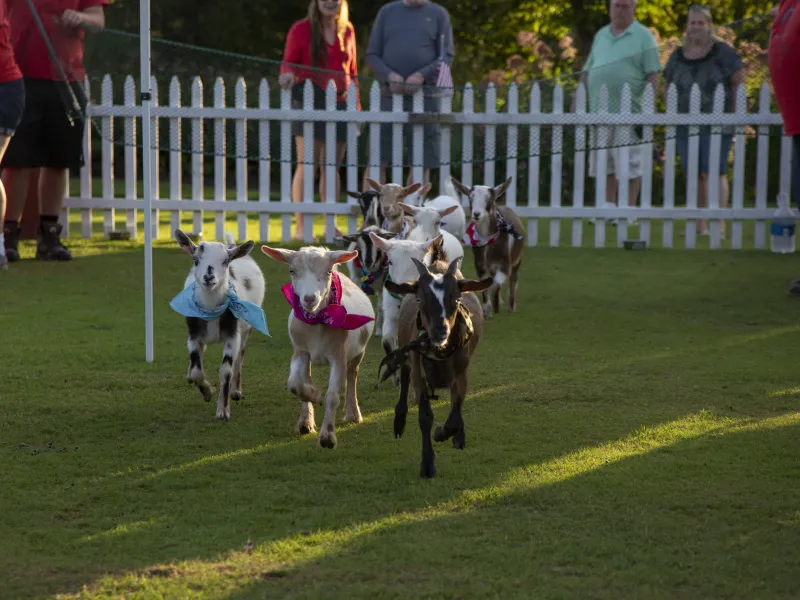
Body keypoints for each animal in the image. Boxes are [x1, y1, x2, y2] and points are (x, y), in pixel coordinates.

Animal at [170, 229, 268, 421]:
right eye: (196, 259)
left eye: (225, 261)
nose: (209, 277)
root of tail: (232, 246)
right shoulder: (194, 335)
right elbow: (197, 370)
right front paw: (207, 392)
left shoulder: (232, 335)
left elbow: (225, 370)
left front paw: (223, 411)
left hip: (246, 330)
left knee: (240, 355)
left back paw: (236, 391)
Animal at [261, 244, 374, 449]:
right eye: (292, 271)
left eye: (327, 272)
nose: (309, 299)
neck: (318, 320)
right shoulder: (300, 351)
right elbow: (294, 384)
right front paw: (313, 397)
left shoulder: (338, 356)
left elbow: (332, 396)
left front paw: (328, 437)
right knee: (309, 377)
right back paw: (307, 419)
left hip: (358, 352)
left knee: (352, 375)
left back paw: (354, 414)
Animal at [381, 247, 492, 478]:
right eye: (420, 299)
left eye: (457, 299)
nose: (440, 331)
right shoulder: (418, 370)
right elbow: (425, 417)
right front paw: (427, 465)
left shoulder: (462, 372)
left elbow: (456, 411)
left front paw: (445, 433)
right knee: (404, 379)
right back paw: (399, 422)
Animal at [451, 175, 526, 317]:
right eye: (470, 197)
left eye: (490, 199)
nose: (476, 214)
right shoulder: (480, 263)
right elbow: (485, 286)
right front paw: (486, 311)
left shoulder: (505, 264)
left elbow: (496, 284)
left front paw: (496, 306)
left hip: (517, 260)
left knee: (513, 280)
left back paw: (511, 306)